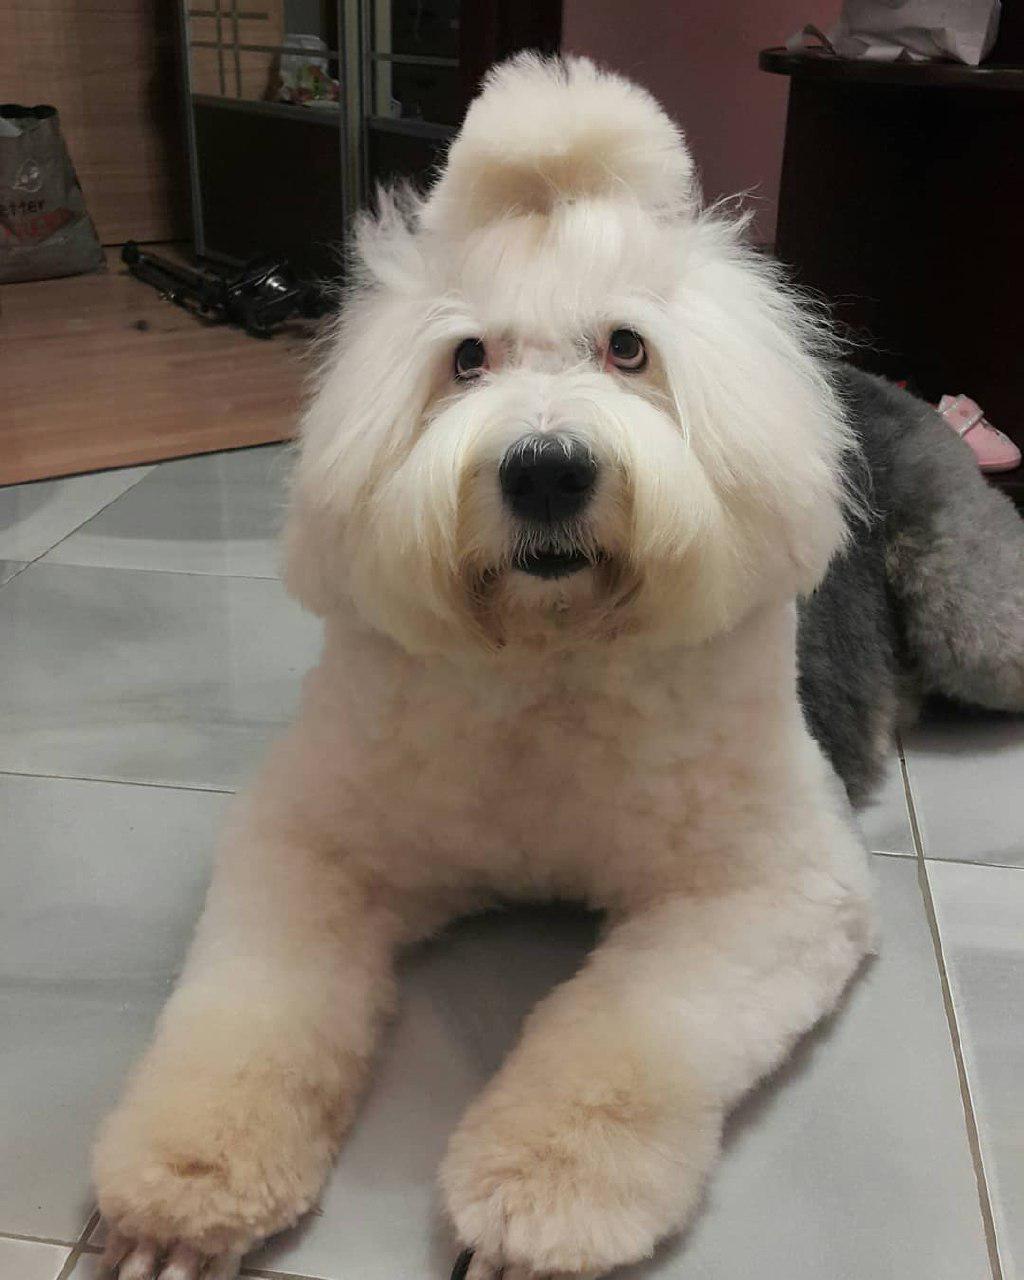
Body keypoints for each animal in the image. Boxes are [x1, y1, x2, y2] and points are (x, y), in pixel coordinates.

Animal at [97, 57, 880, 1280]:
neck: (546, 664)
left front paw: (538, 1205)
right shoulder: (309, 837)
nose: (546, 470)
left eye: (627, 346)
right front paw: (182, 1190)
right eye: (465, 357)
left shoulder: (772, 889)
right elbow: (250, 1006)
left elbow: (626, 1035)